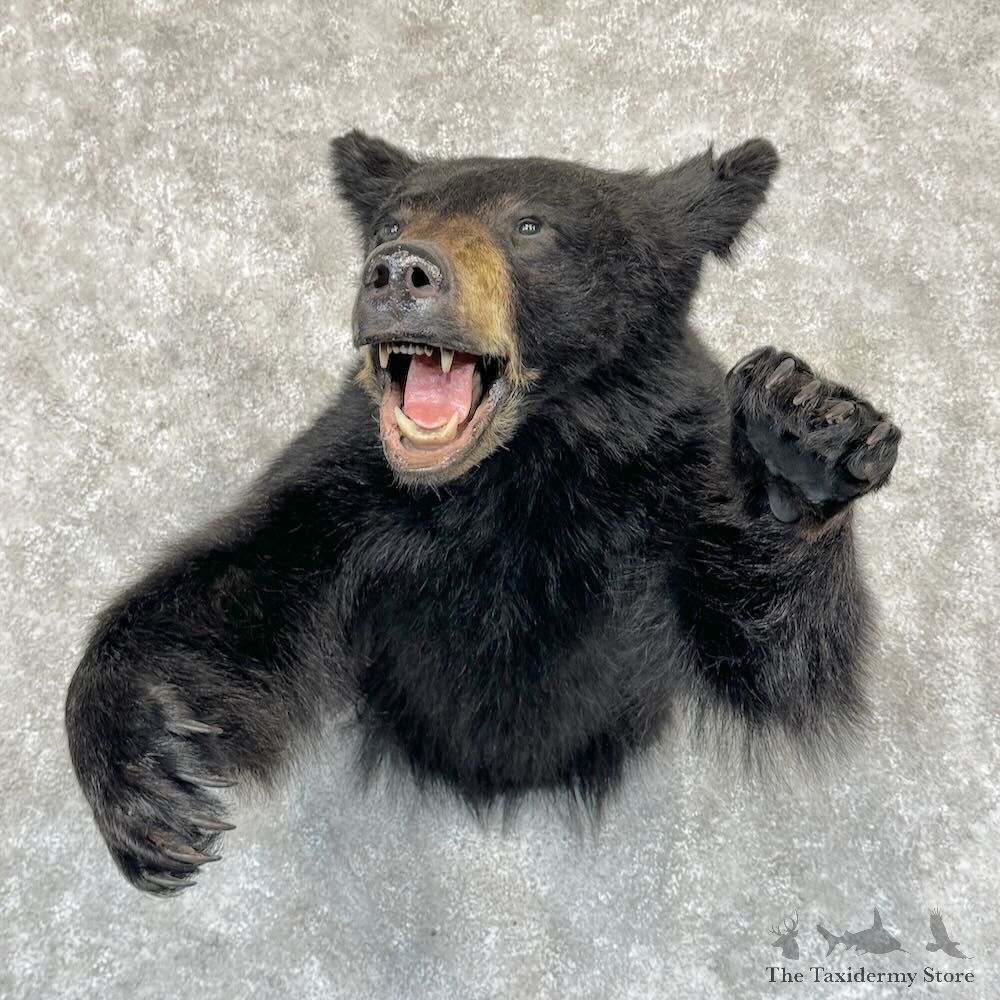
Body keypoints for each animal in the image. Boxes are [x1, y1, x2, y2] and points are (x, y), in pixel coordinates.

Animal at [65, 130, 901, 893]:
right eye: (390, 222)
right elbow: (241, 586)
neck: (519, 468)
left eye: (531, 225)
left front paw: (803, 440)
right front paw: (148, 780)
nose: (399, 270)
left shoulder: (667, 480)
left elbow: (780, 660)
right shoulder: (355, 492)